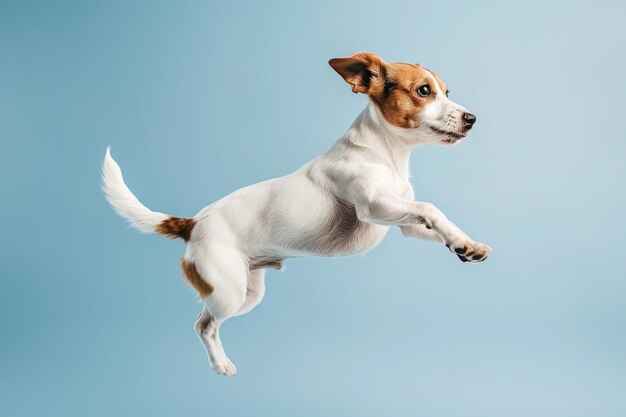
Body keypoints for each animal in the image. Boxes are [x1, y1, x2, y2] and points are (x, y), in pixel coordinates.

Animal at [102, 52, 490, 376]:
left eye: (446, 91)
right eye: (424, 91)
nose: (472, 119)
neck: (385, 154)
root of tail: (192, 223)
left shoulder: (405, 222)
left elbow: (434, 219)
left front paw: (465, 244)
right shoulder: (374, 208)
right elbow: (430, 208)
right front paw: (460, 240)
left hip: (248, 293)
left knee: (207, 321)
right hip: (227, 291)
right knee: (203, 325)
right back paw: (220, 365)